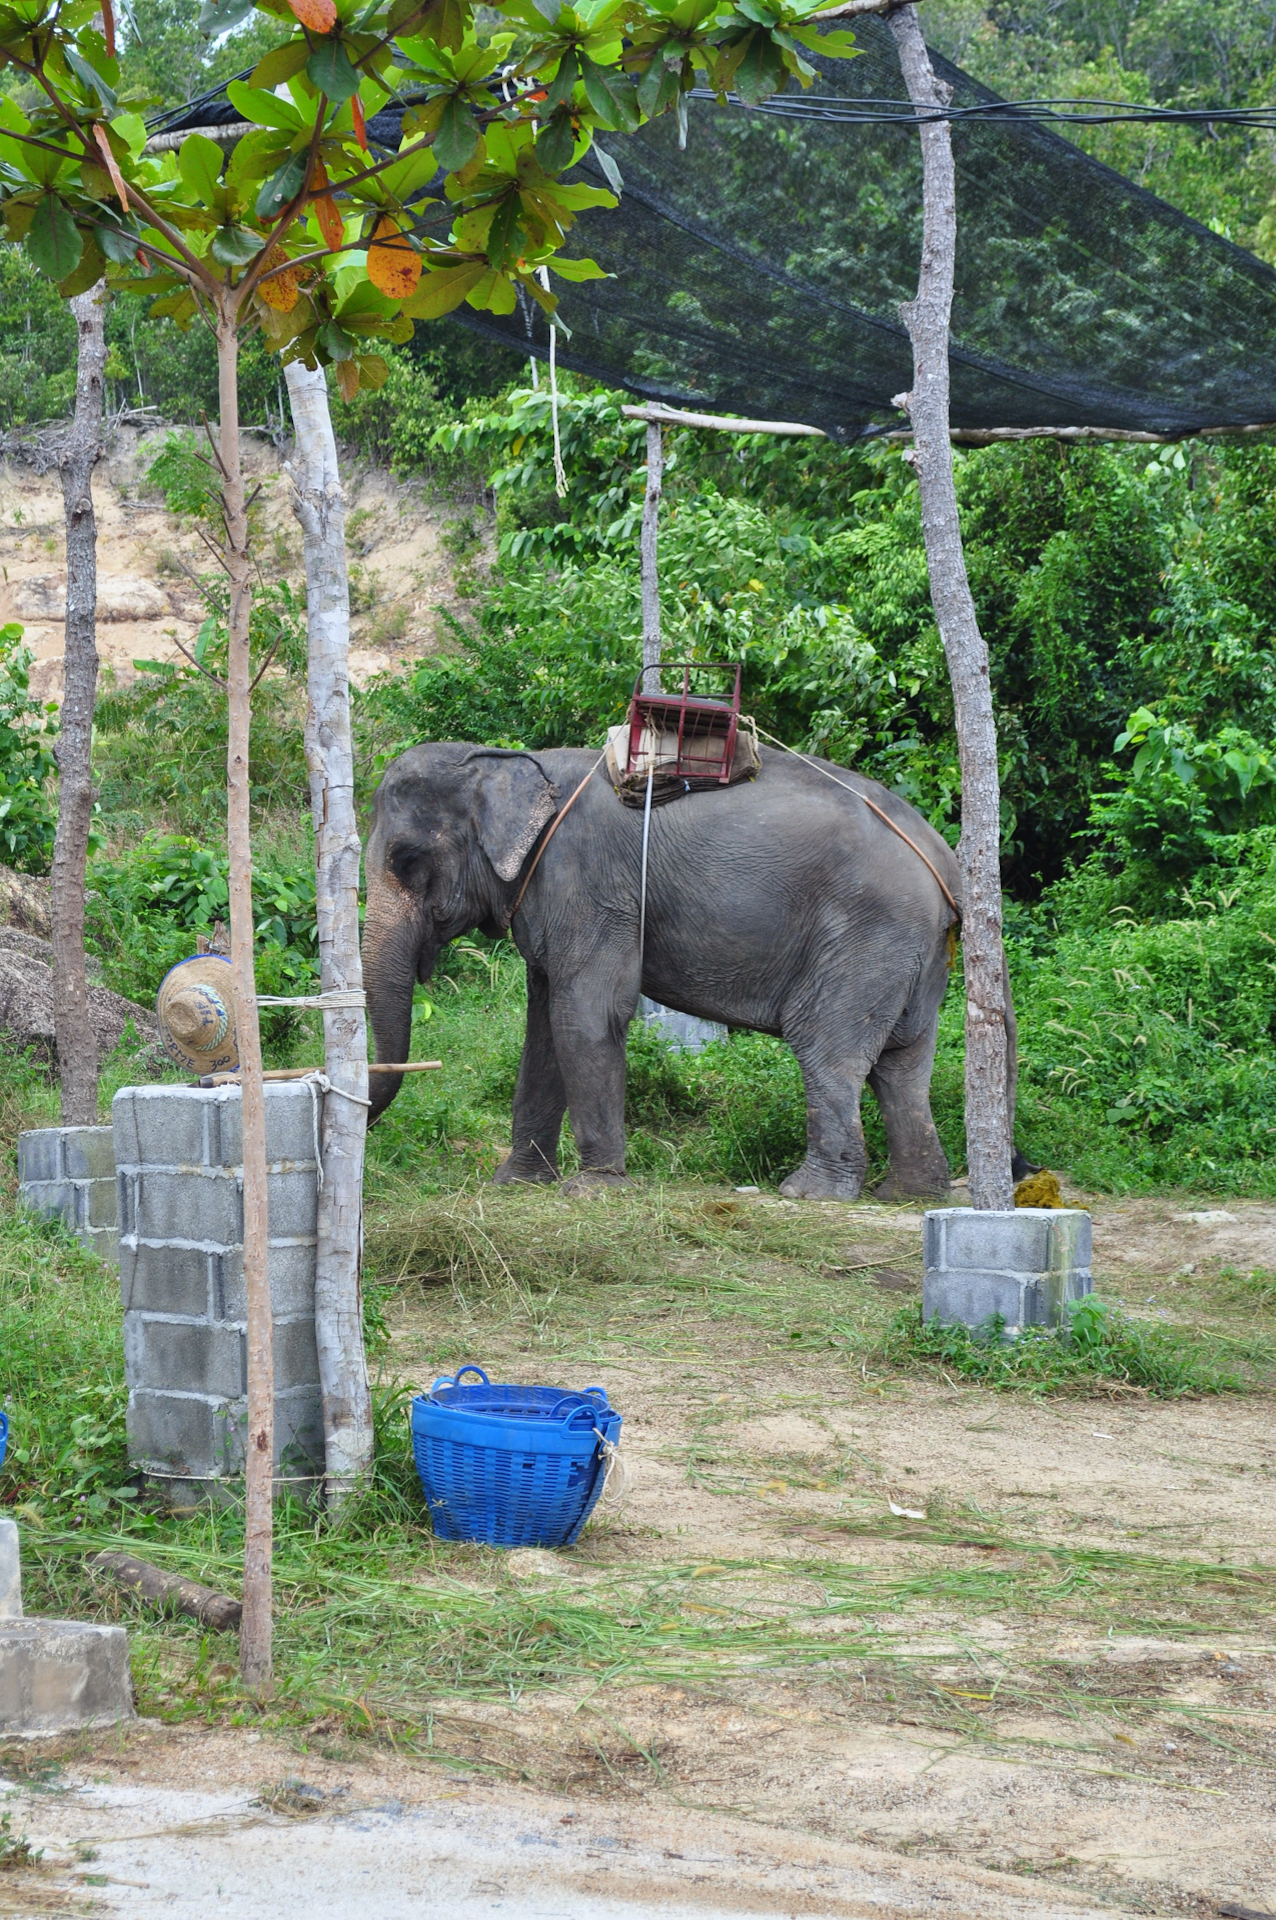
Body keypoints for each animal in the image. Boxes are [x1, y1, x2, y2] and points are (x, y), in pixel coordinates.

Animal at [362, 741, 1029, 1200]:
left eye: (406, 860)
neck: (519, 764)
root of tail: (946, 856)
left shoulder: (591, 886)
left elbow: (585, 1017)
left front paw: (592, 1190)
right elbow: (543, 1028)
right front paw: (516, 1185)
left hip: (868, 936)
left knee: (829, 1052)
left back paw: (808, 1193)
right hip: (915, 951)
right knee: (903, 1066)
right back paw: (908, 1193)